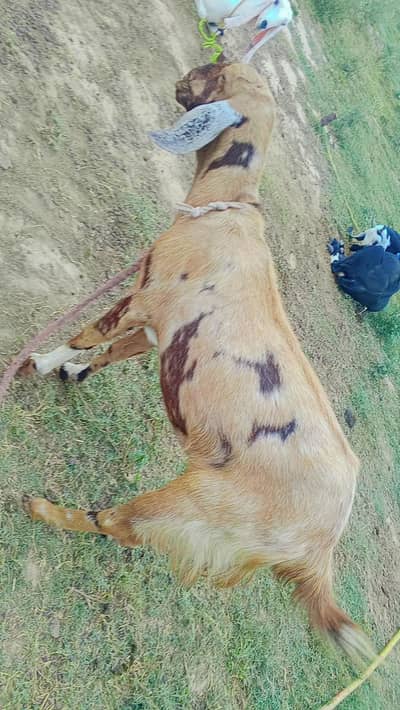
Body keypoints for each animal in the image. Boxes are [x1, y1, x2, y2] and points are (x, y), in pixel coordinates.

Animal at [20, 62, 371, 660]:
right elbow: (109, 353)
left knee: (115, 523)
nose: (181, 81)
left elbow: (88, 333)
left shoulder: (144, 296)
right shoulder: (160, 331)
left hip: (193, 506)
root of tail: (318, 550)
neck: (224, 211)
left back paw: (38, 507)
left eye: (215, 71)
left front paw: (41, 363)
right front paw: (70, 374)